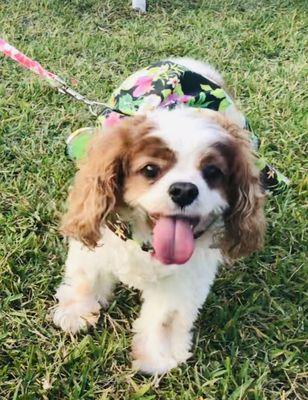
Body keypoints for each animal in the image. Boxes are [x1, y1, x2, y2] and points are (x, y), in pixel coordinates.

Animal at [52, 57, 264, 374]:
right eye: (150, 170)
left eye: (212, 172)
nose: (184, 190)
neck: (147, 239)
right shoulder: (97, 245)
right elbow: (85, 277)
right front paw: (75, 313)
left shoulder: (184, 279)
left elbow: (165, 318)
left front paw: (158, 357)